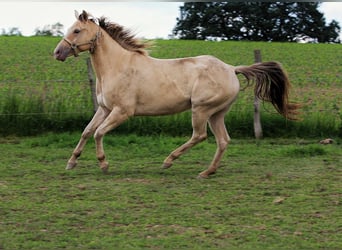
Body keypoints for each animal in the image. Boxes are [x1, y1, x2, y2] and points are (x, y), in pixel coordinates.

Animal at [52, 10, 300, 178]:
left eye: (77, 30)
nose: (57, 53)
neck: (117, 66)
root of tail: (231, 68)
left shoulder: (122, 111)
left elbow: (98, 133)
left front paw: (103, 164)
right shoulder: (104, 109)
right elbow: (87, 131)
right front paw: (71, 162)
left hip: (201, 109)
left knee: (200, 136)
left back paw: (169, 161)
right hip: (217, 113)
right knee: (223, 140)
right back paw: (207, 172)